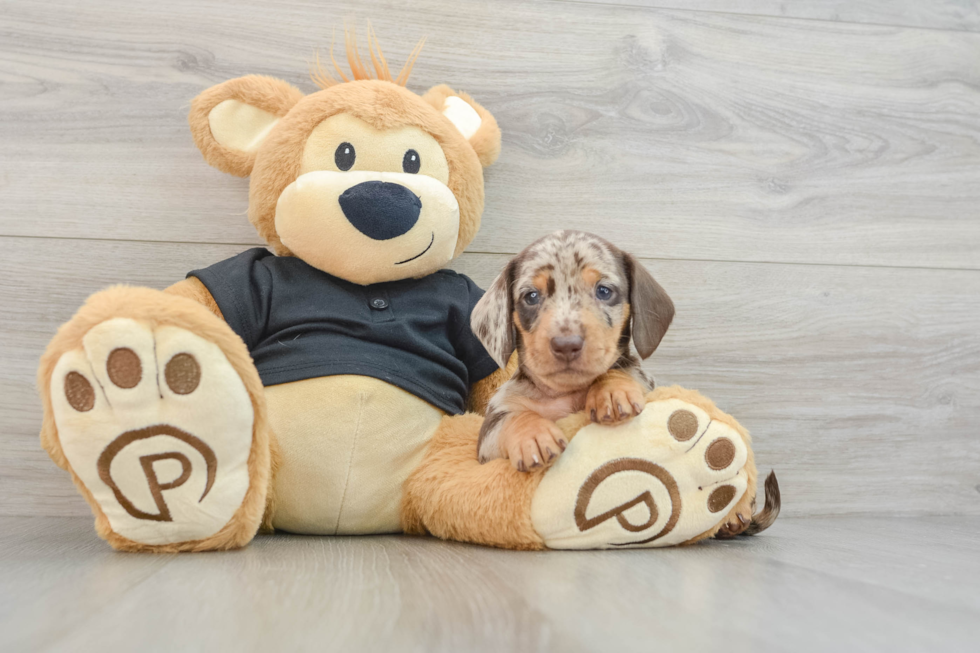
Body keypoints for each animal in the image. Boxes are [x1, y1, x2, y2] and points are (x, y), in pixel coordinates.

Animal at [468, 232, 672, 472]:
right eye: (531, 296)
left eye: (604, 291)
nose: (566, 345)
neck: (565, 392)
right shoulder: (490, 434)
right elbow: (513, 416)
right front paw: (533, 435)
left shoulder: (649, 384)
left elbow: (624, 369)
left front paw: (612, 390)